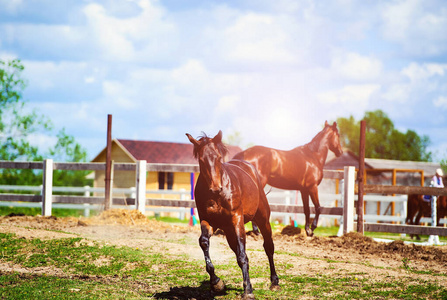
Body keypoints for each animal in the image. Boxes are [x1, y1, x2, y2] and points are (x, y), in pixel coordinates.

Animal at [186, 130, 280, 298]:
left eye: (218, 157)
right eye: (202, 160)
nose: (216, 188)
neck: (218, 196)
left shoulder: (237, 219)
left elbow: (243, 255)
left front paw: (248, 291)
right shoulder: (208, 221)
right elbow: (204, 242)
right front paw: (216, 283)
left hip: (262, 219)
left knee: (268, 247)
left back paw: (274, 282)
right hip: (228, 231)